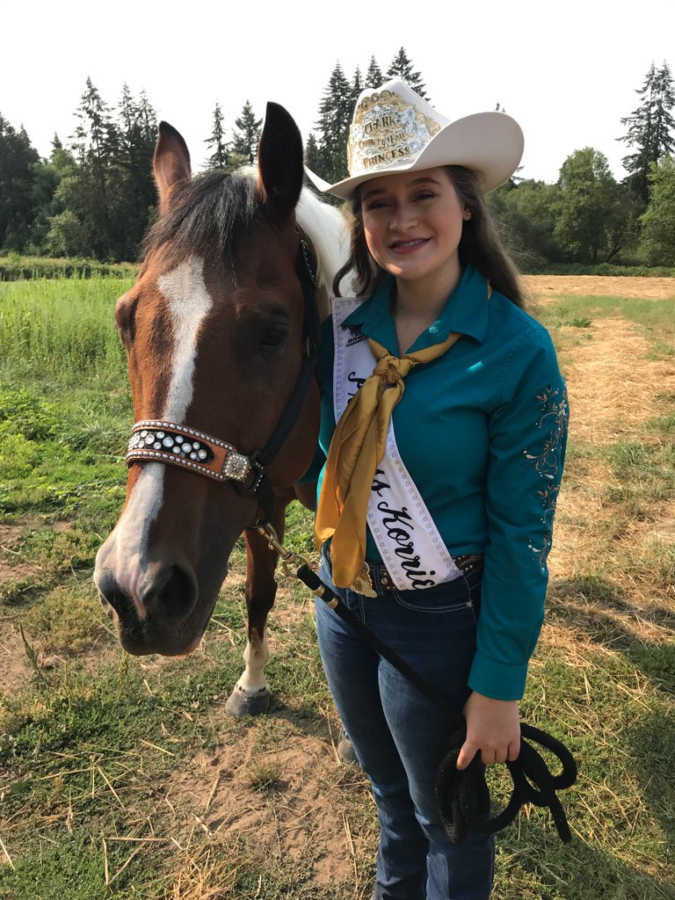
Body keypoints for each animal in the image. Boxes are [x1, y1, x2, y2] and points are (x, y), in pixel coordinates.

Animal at [95, 102, 348, 712]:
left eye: (273, 334)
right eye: (124, 320)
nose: (137, 587)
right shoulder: (260, 503)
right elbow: (259, 593)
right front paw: (252, 685)